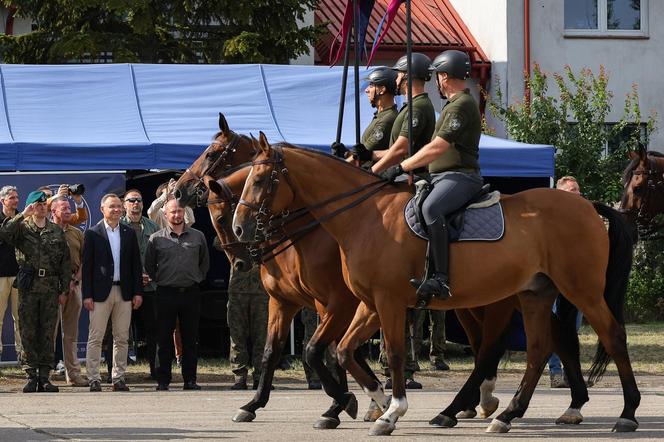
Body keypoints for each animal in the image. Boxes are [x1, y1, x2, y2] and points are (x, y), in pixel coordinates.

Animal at [233, 136, 640, 436]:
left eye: (260, 180)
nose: (239, 227)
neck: (364, 217)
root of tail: (585, 204)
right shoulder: (367, 303)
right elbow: (343, 350)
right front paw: (371, 399)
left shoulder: (382, 301)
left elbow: (390, 352)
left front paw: (388, 411)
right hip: (534, 294)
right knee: (538, 349)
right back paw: (507, 413)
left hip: (580, 290)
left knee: (611, 335)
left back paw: (627, 412)